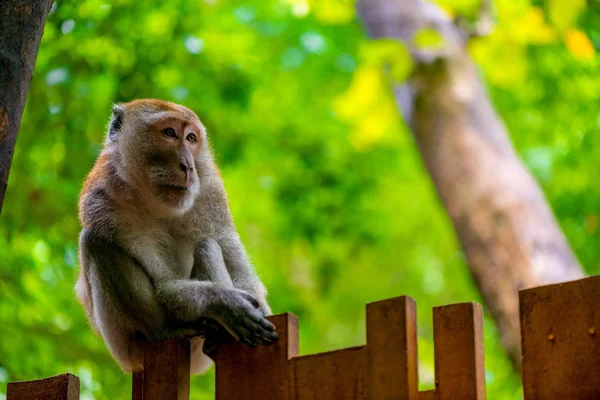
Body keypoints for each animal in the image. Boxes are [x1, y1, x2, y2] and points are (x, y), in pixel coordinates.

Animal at [75, 98, 278, 374]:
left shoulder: (211, 191)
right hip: (125, 348)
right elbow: (163, 283)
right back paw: (164, 331)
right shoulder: (102, 200)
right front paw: (224, 302)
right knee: (95, 241)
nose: (188, 166)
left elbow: (241, 272)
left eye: (191, 138)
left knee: (208, 245)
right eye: (169, 133)